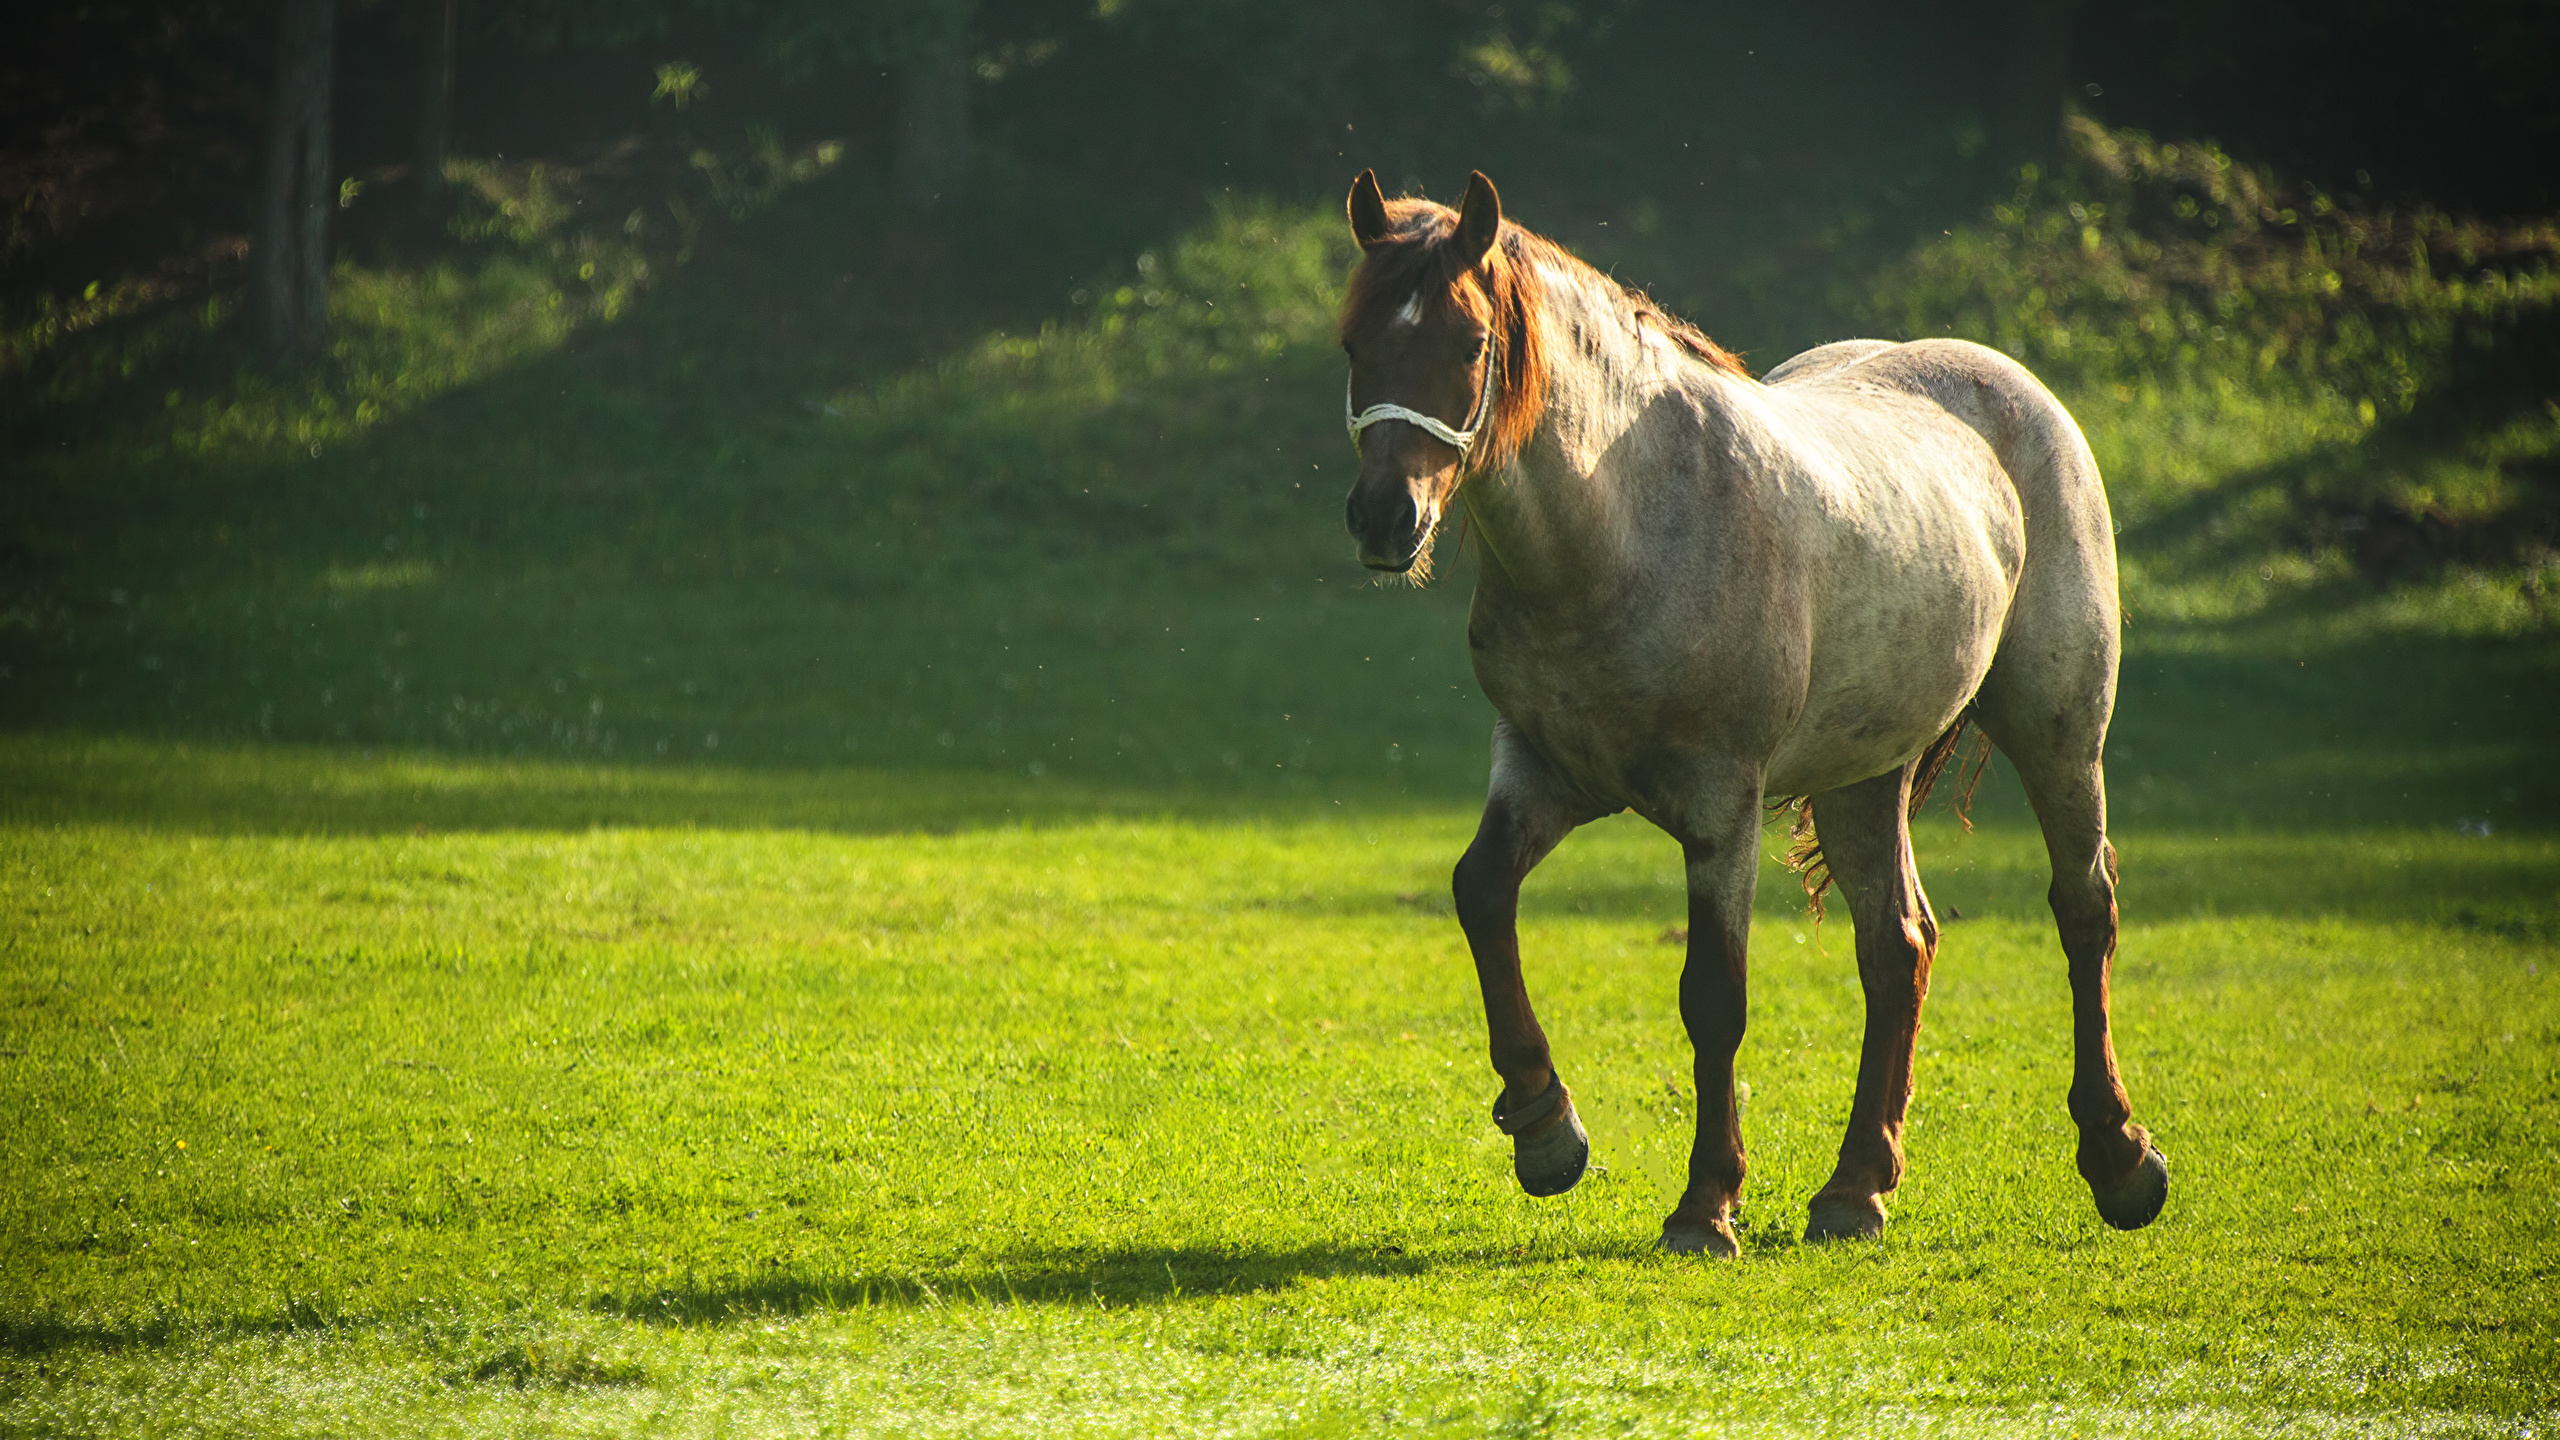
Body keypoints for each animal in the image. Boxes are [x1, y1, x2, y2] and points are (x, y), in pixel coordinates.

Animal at [1341, 167, 2160, 1250]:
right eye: (1355, 343)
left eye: (1470, 343)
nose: (1384, 518)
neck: (1626, 528)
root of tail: (2017, 391)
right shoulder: (1544, 770)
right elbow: (1480, 893)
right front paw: (1545, 1128)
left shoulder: (1720, 808)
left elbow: (1713, 998)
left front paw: (1705, 1203)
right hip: (1864, 777)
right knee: (1896, 947)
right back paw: (1856, 1188)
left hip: (2061, 732)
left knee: (2082, 911)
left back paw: (2119, 1160)